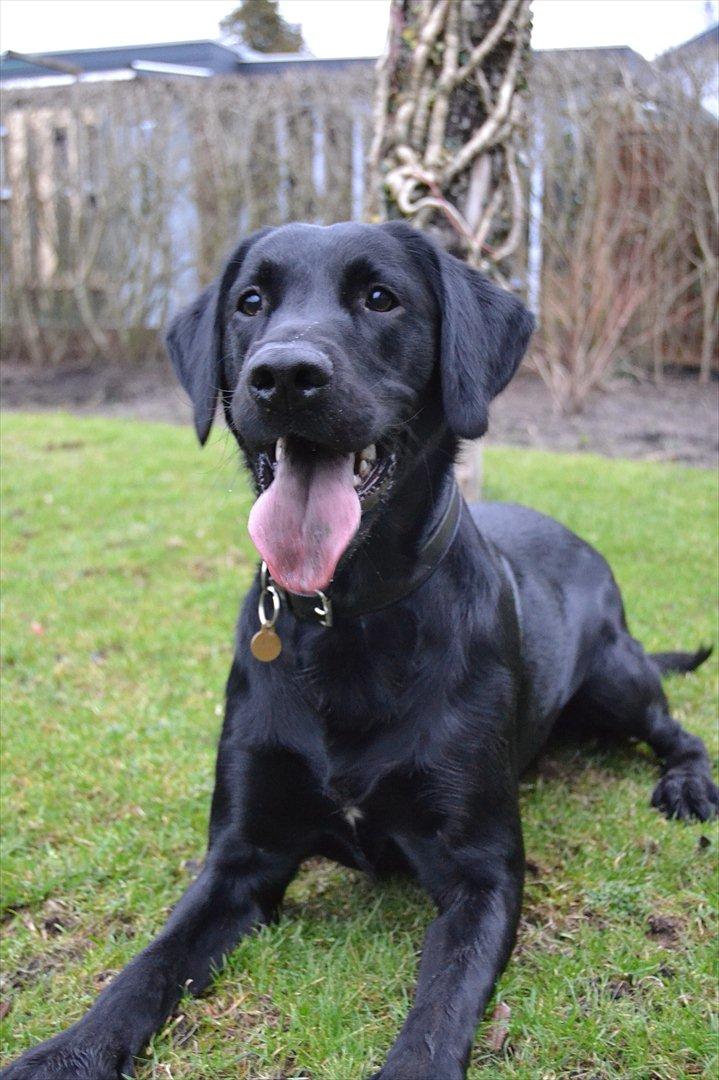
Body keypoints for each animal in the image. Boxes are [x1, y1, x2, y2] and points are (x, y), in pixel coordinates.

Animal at [4, 221, 712, 1080]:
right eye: (250, 302)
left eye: (380, 297)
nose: (282, 375)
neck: (346, 619)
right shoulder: (238, 859)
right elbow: (147, 966)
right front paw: (67, 1051)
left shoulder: (482, 871)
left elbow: (439, 1003)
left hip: (615, 677)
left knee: (677, 731)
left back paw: (686, 785)